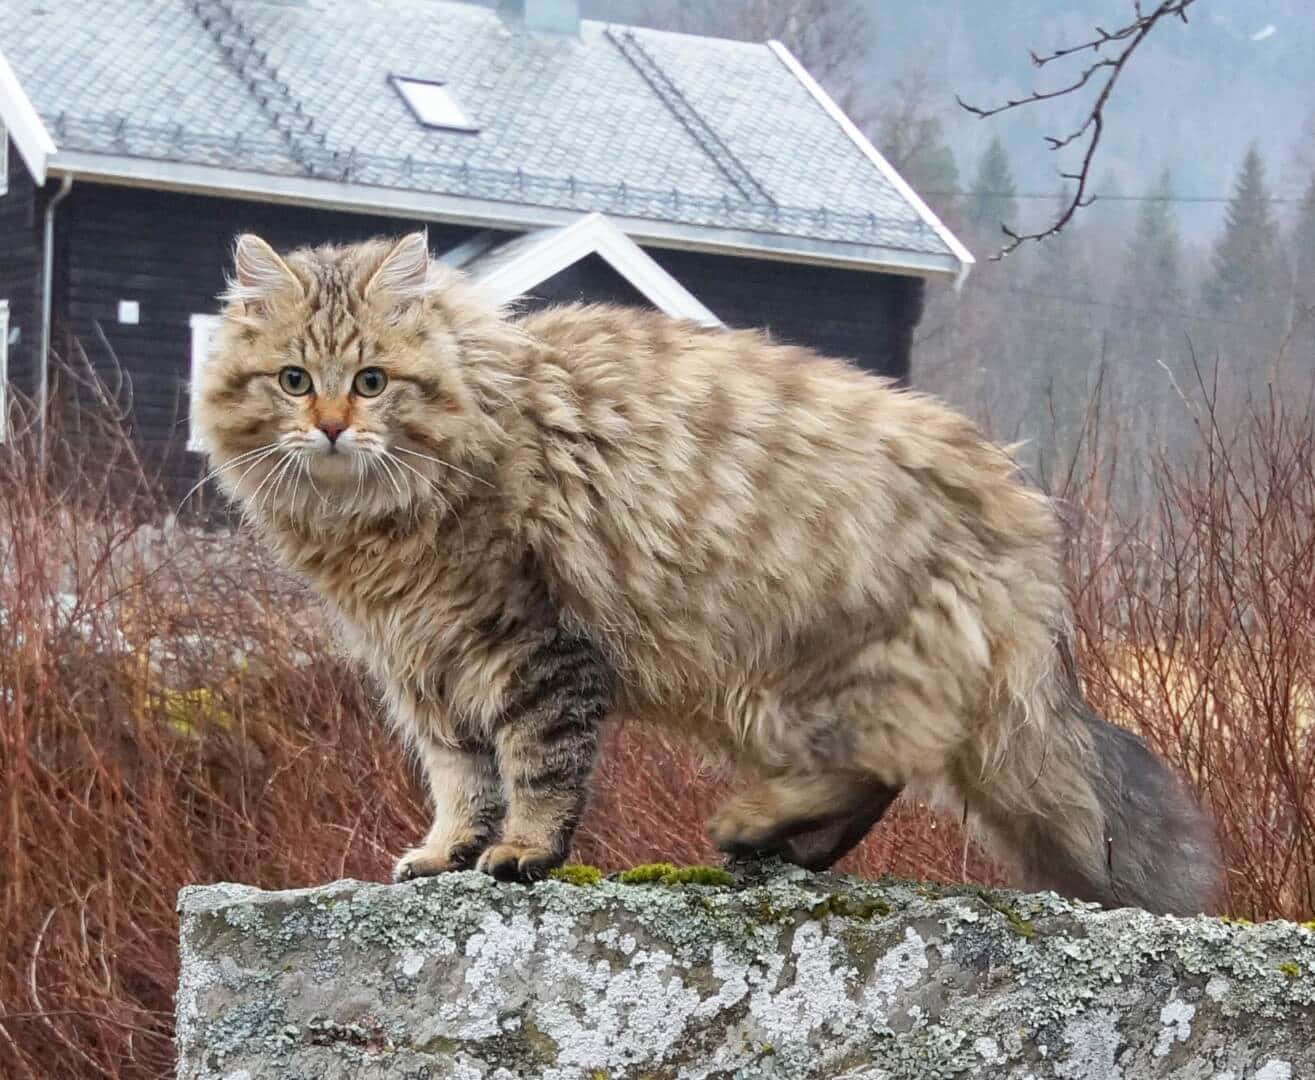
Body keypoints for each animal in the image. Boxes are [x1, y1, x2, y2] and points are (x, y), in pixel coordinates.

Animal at [191, 231, 1220, 915]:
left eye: (371, 381)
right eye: (293, 380)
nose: (330, 428)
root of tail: (1017, 513)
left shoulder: (533, 644)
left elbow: (535, 769)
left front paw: (520, 852)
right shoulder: (423, 665)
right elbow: (458, 778)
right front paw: (445, 852)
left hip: (814, 670)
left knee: (874, 765)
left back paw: (750, 827)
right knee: (878, 780)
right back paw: (780, 849)